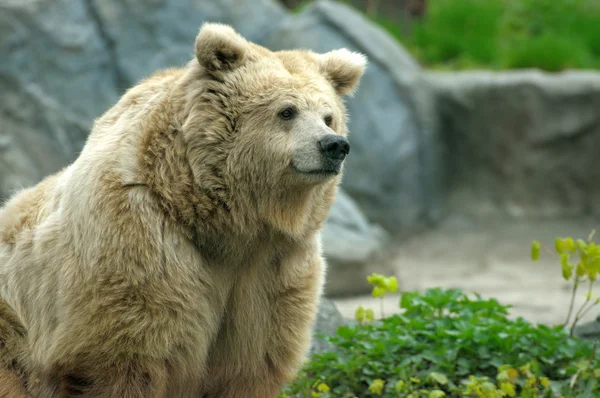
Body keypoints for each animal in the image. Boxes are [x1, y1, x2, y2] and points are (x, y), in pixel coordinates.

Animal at [0, 22, 366, 398]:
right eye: (287, 111)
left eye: (328, 116)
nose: (334, 145)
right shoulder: (138, 247)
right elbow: (123, 356)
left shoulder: (270, 271)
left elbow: (249, 364)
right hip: (13, 329)